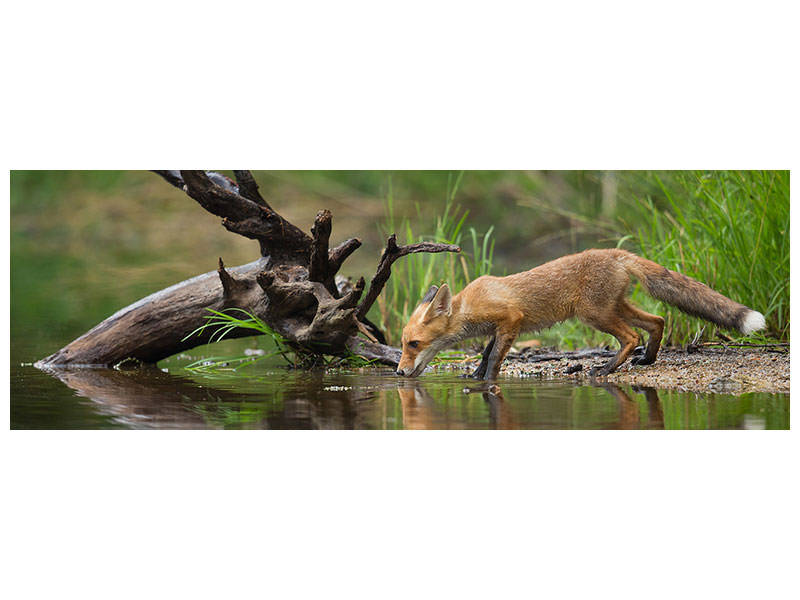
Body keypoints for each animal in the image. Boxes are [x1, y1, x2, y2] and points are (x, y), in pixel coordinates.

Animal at [395, 248, 766, 380]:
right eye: (403, 344)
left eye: (413, 344)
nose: (398, 372)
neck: (471, 305)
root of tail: (615, 252)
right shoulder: (498, 328)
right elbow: (487, 354)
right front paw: (474, 376)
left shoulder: (511, 320)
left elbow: (496, 359)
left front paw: (485, 382)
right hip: (614, 308)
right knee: (658, 321)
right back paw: (647, 360)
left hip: (593, 315)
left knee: (631, 335)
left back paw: (605, 369)